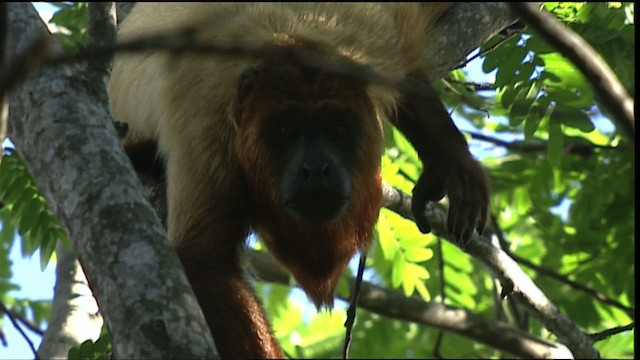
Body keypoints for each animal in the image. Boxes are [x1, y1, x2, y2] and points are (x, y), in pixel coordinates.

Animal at [110, 2, 490, 358]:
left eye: (335, 129)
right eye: (285, 132)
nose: (316, 169)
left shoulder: (376, 49)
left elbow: (410, 79)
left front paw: (453, 165)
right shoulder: (204, 116)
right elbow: (204, 256)